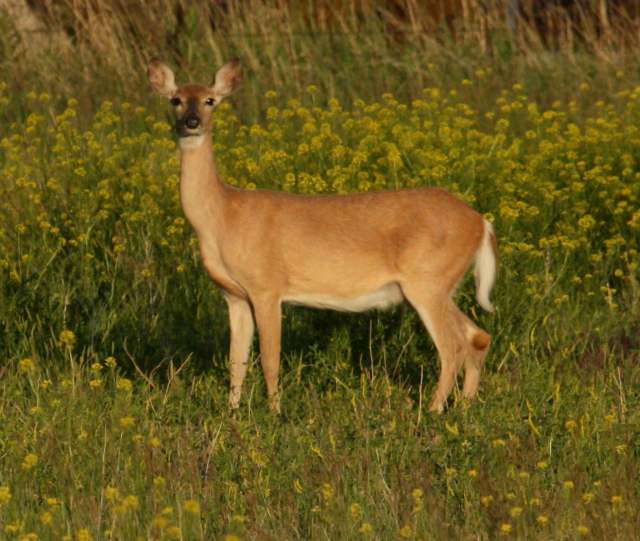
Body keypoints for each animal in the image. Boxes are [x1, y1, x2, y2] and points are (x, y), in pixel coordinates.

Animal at [147, 58, 497, 414]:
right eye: (176, 100)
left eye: (210, 100)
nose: (191, 122)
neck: (223, 217)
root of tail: (480, 222)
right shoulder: (234, 295)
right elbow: (237, 361)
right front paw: (232, 412)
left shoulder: (267, 287)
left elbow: (269, 359)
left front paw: (275, 413)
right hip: (440, 285)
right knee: (478, 336)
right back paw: (465, 406)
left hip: (428, 280)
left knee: (452, 346)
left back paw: (432, 410)